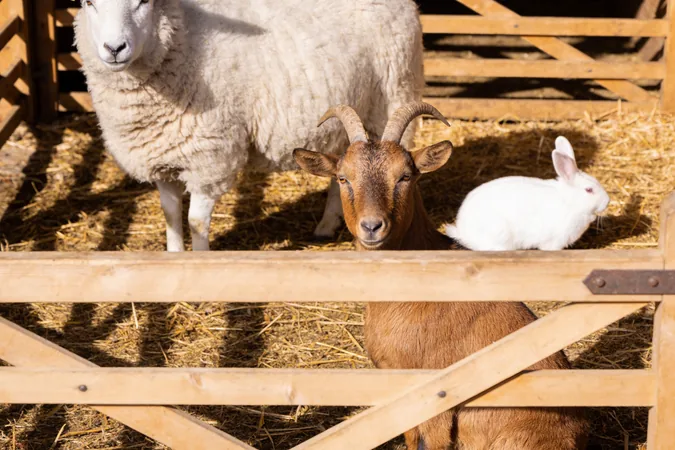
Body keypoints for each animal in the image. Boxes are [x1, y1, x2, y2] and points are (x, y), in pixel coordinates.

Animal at [73, 0, 424, 251]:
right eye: (89, 2)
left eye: (144, 1)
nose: (114, 48)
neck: (186, 42)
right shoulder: (163, 156)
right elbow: (170, 216)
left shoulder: (209, 158)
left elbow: (196, 221)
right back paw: (326, 226)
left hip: (392, 98)